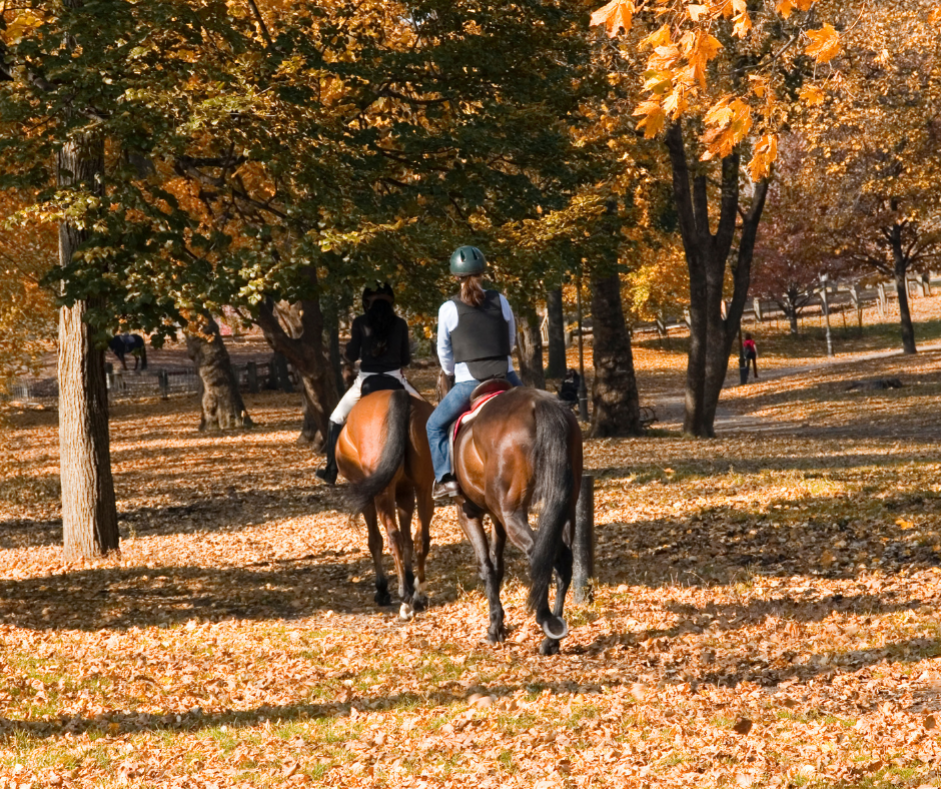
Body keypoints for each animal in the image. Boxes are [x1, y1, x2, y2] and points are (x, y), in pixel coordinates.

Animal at [338, 390, 436, 620]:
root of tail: (398, 395)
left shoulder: (368, 497)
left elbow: (375, 540)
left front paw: (382, 589)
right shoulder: (405, 492)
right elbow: (409, 537)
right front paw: (409, 579)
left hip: (382, 494)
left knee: (393, 537)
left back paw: (404, 599)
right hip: (424, 487)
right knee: (421, 537)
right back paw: (418, 594)